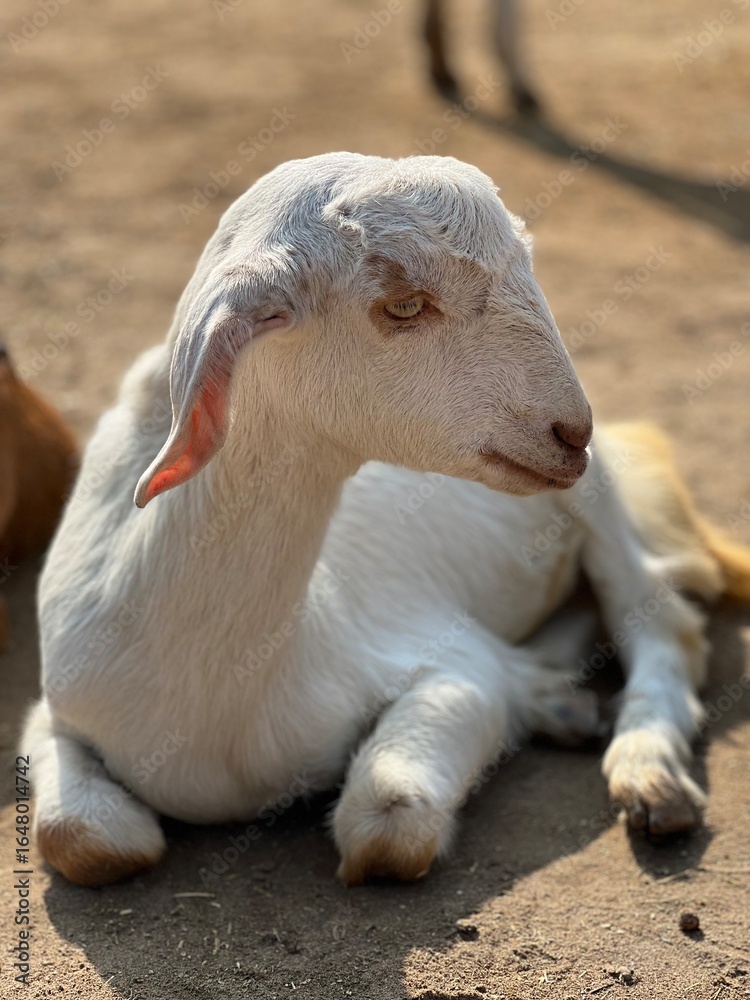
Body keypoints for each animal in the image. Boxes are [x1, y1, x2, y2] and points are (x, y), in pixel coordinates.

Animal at [22, 153, 750, 886]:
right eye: (403, 305)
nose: (571, 432)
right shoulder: (55, 711)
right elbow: (81, 837)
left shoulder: (444, 661)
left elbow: (387, 824)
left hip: (597, 500)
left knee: (660, 621)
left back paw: (649, 776)